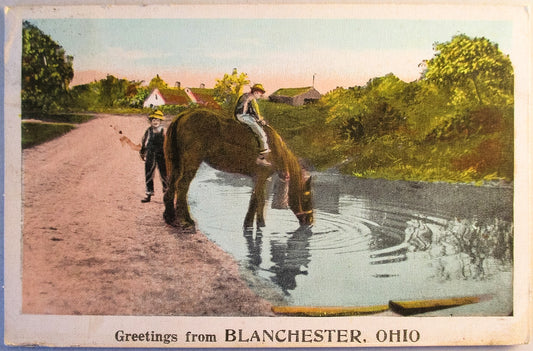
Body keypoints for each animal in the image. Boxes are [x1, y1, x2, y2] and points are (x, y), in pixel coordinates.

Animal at [162, 108, 312, 232]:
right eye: (307, 195)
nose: (310, 221)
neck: (275, 149)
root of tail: (184, 115)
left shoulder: (259, 179)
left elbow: (257, 200)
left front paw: (257, 224)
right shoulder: (261, 177)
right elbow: (257, 200)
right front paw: (252, 224)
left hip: (176, 165)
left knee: (171, 186)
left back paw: (171, 218)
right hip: (191, 164)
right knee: (182, 186)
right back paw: (186, 221)